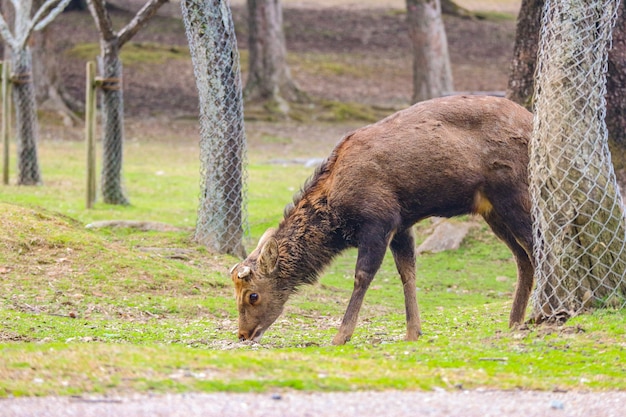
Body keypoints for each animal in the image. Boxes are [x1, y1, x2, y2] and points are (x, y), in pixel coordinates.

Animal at [229, 95, 532, 344]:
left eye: (252, 295)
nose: (243, 334)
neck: (336, 211)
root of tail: (531, 121)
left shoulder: (378, 221)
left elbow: (362, 275)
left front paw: (341, 335)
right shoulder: (402, 225)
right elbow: (407, 272)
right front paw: (413, 332)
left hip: (514, 194)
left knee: (535, 247)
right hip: (492, 211)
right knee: (523, 258)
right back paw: (514, 321)